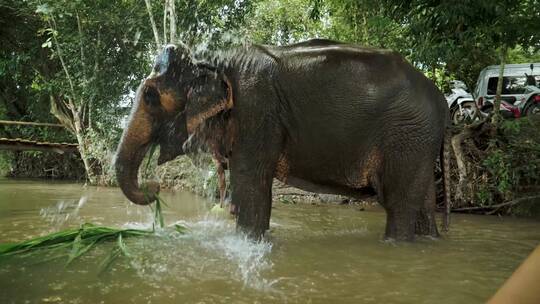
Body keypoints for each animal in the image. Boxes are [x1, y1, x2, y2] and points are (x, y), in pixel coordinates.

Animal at [115, 38, 452, 242]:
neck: (214, 59)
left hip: (407, 134)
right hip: (419, 142)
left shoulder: (256, 108)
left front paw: (247, 244)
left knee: (398, 203)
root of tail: (441, 99)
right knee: (422, 203)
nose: (155, 188)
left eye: (150, 97)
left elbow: (251, 184)